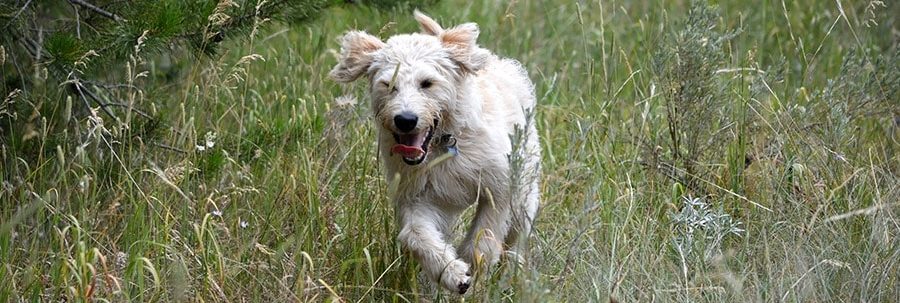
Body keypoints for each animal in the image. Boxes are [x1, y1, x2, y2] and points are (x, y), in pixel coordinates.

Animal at [330, 11, 540, 294]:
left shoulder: (500, 187)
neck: (443, 146)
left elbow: (484, 239)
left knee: (517, 235)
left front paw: (475, 274)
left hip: (525, 187)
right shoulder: (417, 196)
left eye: (426, 83)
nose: (405, 120)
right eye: (389, 84)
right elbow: (416, 235)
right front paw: (452, 274)